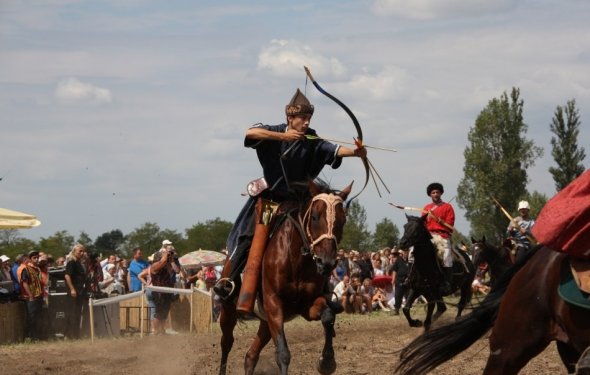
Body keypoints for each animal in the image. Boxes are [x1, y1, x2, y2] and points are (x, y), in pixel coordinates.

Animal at [220, 181, 354, 374]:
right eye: (315, 217)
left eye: (342, 221)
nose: (327, 262)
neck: (295, 260)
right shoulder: (274, 304)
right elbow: (283, 354)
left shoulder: (306, 306)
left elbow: (328, 315)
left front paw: (327, 362)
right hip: (229, 309)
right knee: (226, 343)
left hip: (265, 321)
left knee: (251, 355)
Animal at [396, 245, 590, 374]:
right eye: (409, 255)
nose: (407, 273)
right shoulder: (419, 290)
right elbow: (407, 308)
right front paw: (418, 323)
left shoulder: (430, 291)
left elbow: (428, 308)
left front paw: (424, 324)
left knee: (457, 306)